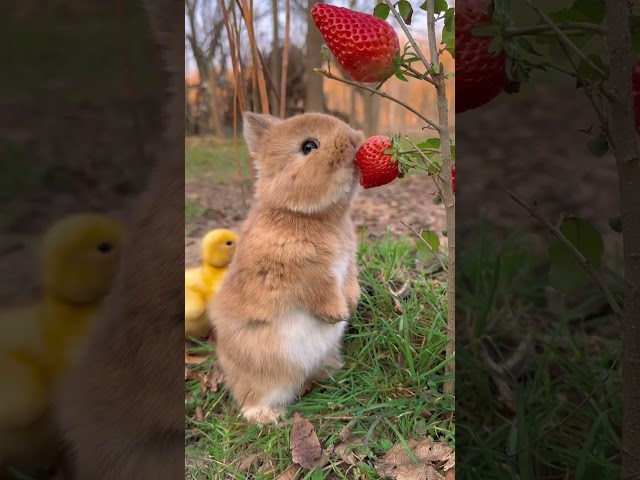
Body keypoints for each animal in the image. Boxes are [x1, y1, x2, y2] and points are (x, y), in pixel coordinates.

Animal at [209, 111, 365, 426]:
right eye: (308, 147)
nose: (356, 141)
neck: (306, 215)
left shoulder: (347, 263)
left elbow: (349, 280)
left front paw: (352, 301)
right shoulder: (302, 275)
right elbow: (320, 291)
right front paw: (338, 313)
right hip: (264, 373)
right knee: (252, 398)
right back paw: (268, 417)